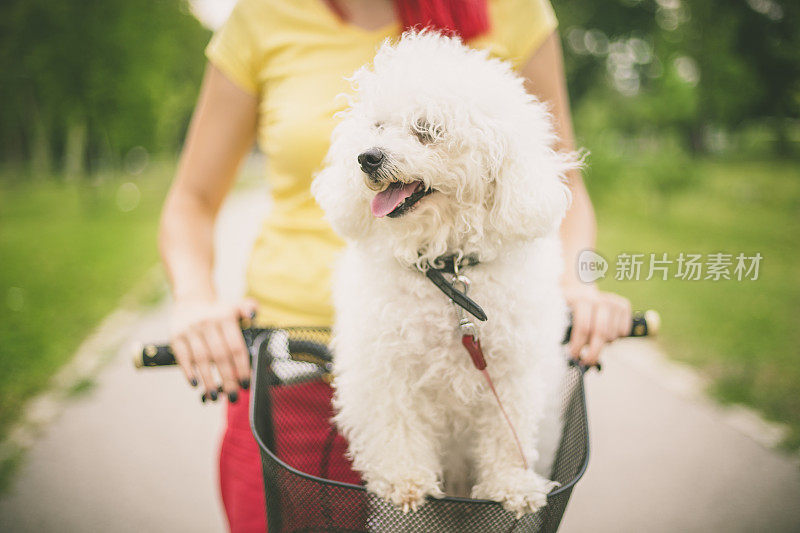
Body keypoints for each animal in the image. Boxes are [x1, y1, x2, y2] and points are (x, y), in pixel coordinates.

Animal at [310, 30, 576, 516]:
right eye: (378, 127)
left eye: (427, 130)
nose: (366, 157)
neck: (446, 268)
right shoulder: (388, 368)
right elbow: (397, 427)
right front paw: (404, 480)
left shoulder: (509, 374)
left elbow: (507, 436)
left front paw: (511, 485)